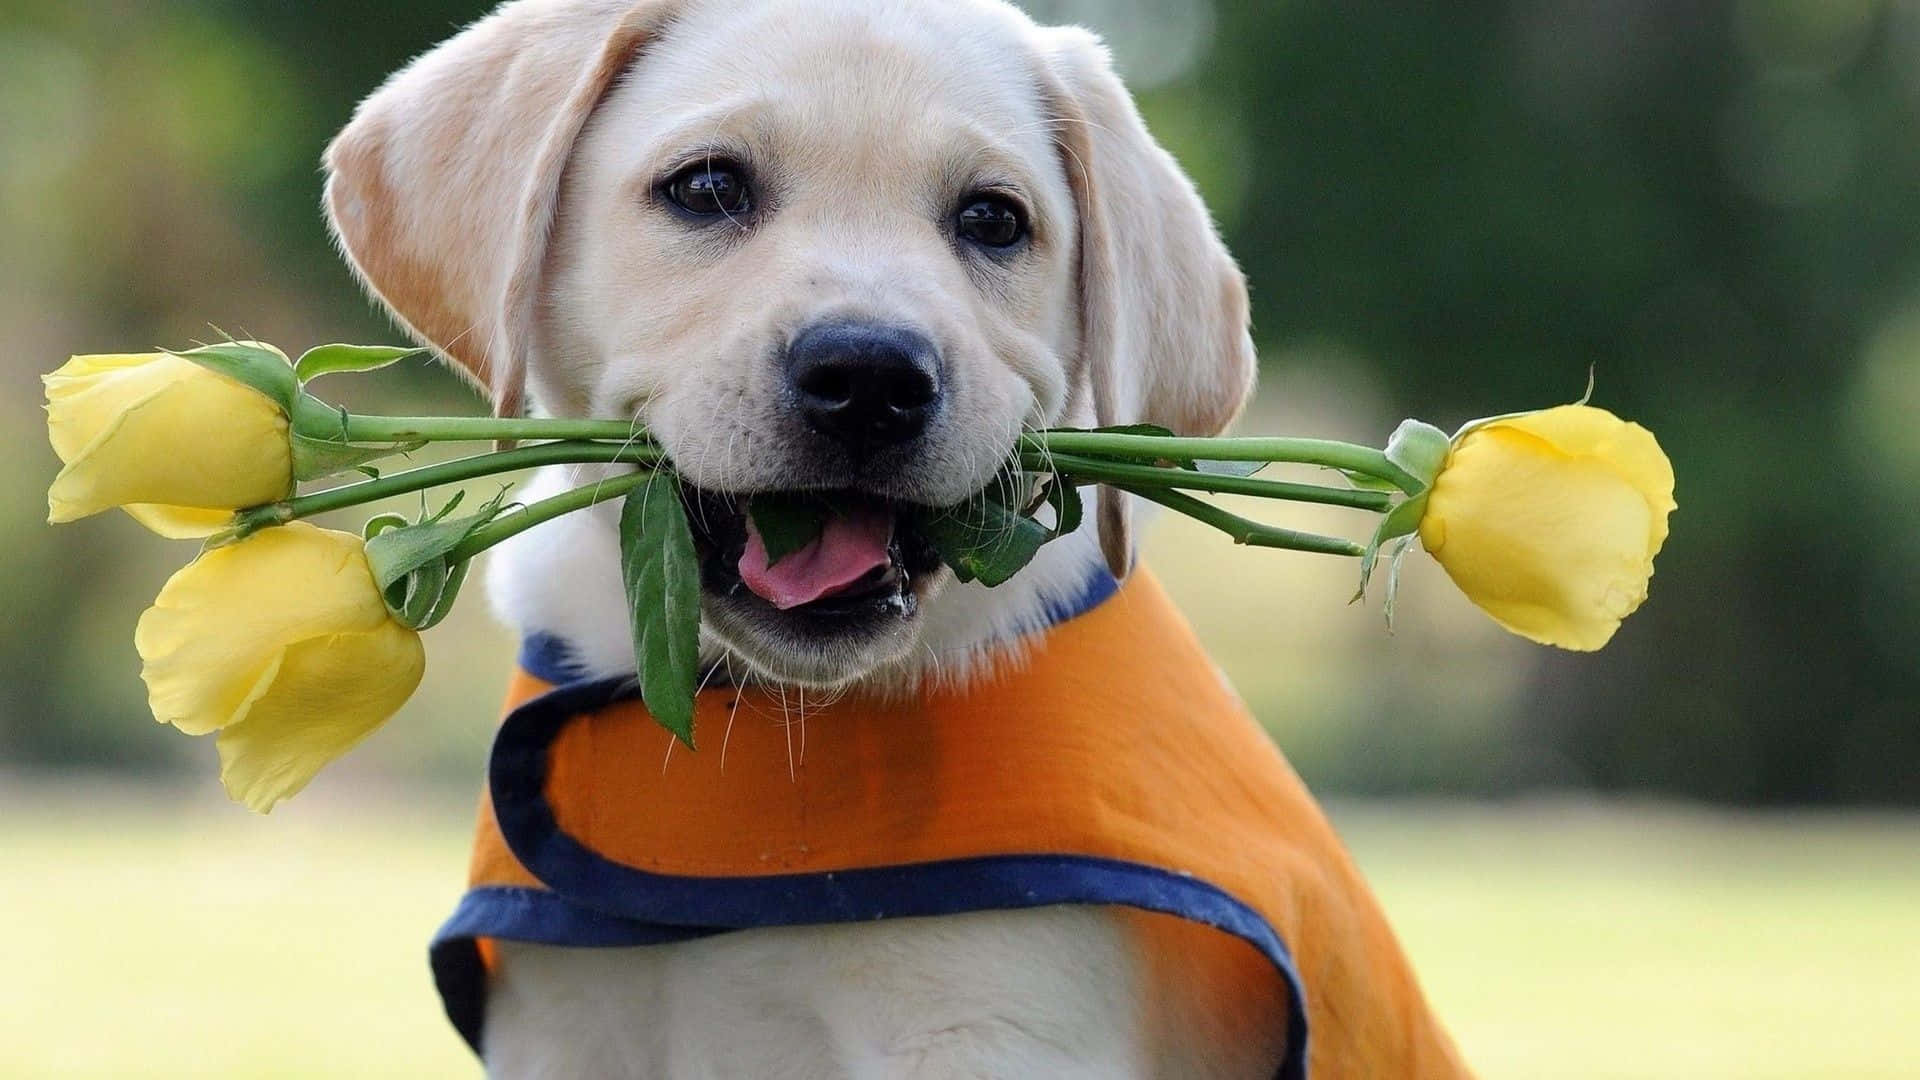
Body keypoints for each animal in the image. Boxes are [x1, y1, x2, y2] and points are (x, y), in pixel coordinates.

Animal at [322, 2, 1459, 1076]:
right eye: (706, 188)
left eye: (994, 220)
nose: (869, 377)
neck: (772, 725)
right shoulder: (567, 1029)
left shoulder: (992, 1029)